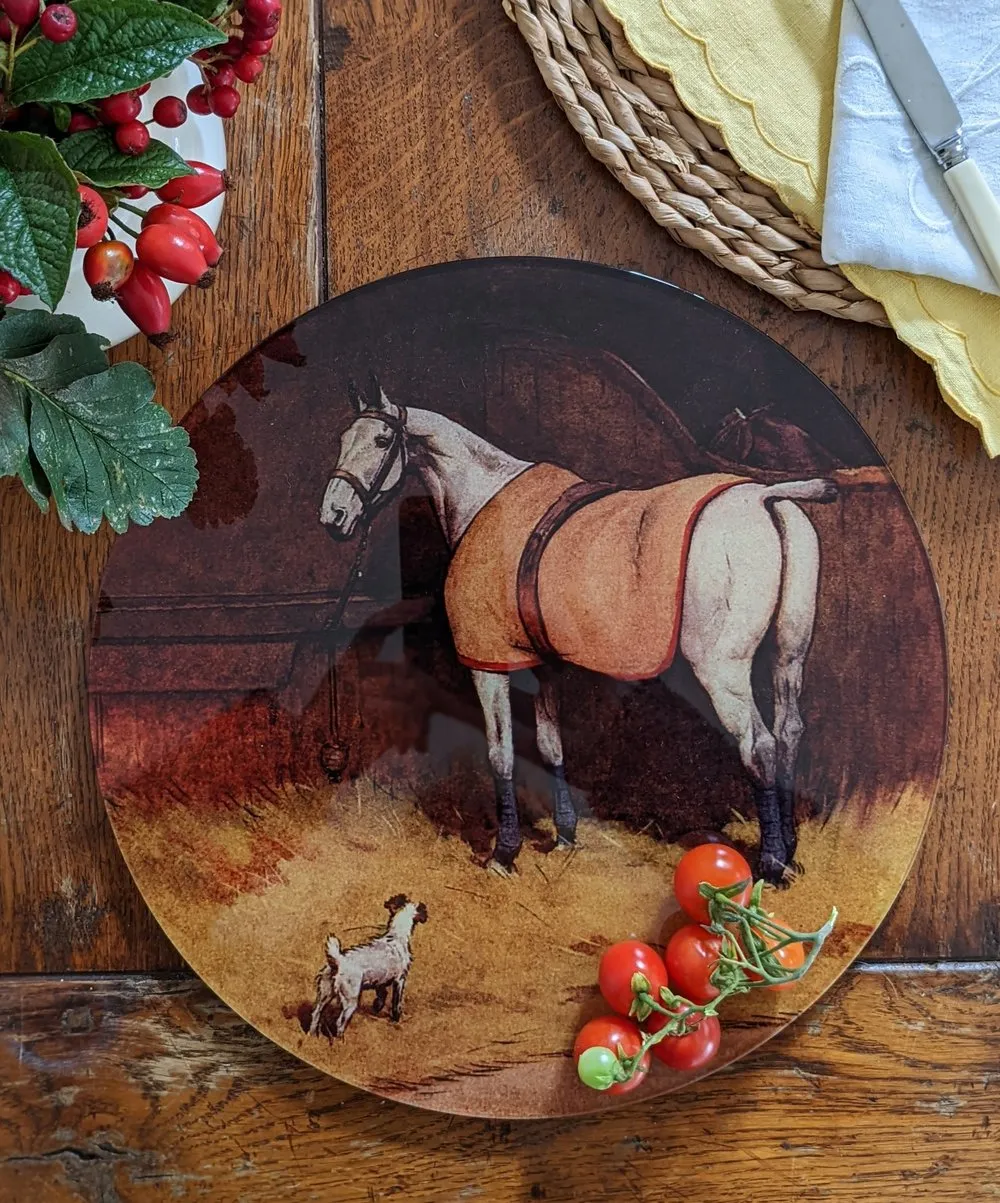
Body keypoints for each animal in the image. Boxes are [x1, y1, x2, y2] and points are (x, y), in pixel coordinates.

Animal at [322, 375, 837, 885]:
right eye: (343, 439)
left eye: (382, 440)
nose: (333, 517)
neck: (485, 495)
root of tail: (763, 497)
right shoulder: (545, 664)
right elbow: (551, 745)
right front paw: (565, 835)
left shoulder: (490, 663)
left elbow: (501, 753)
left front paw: (504, 853)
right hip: (788, 655)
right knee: (789, 732)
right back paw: (790, 852)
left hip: (722, 671)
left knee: (759, 746)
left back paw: (772, 864)